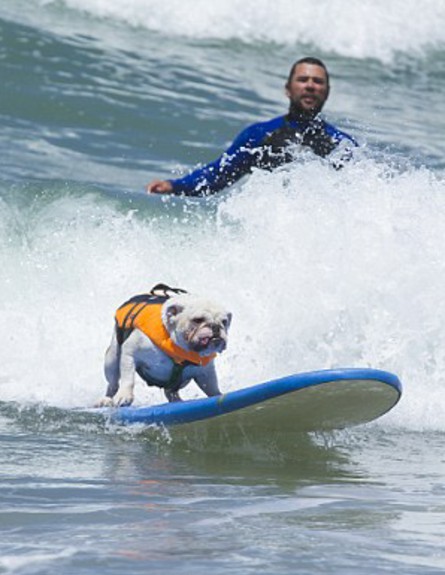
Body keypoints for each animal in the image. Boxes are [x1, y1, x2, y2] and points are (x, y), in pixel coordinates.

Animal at [96, 286, 231, 408]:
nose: (215, 326)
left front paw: (218, 394)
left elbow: (211, 386)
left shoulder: (206, 372)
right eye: (198, 320)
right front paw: (125, 396)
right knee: (113, 383)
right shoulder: (130, 353)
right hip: (112, 360)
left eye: (224, 322)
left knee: (169, 391)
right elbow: (128, 378)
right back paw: (106, 400)